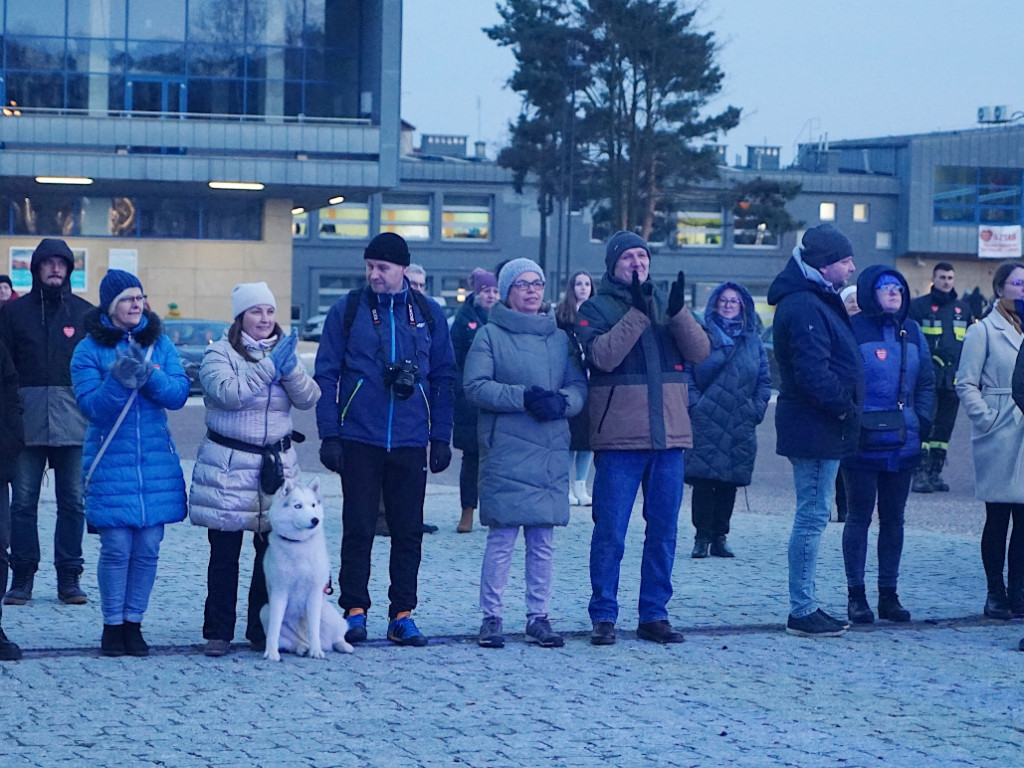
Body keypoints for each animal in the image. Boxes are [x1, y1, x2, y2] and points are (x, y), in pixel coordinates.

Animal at [262, 475, 354, 663]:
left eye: (312, 505)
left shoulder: (314, 593)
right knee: (290, 644)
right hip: (264, 611)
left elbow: (314, 629)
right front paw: (271, 652)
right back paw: (301, 648)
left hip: (331, 616)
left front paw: (316, 650)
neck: (299, 544)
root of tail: (301, 638)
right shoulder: (279, 593)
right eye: (297, 506)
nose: (315, 520)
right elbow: (274, 629)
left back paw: (341, 646)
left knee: (336, 637)